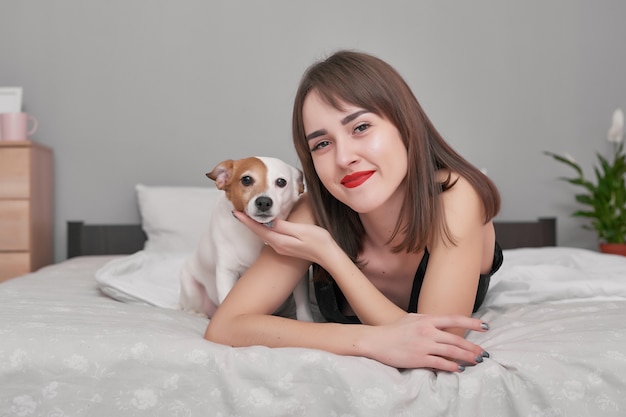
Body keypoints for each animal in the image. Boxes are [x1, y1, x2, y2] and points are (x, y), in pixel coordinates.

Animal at [177, 154, 312, 320]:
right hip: (190, 286)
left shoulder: (299, 279)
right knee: (189, 308)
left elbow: (303, 306)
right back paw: (198, 314)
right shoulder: (227, 272)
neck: (255, 234)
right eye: (246, 179)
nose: (264, 202)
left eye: (281, 182)